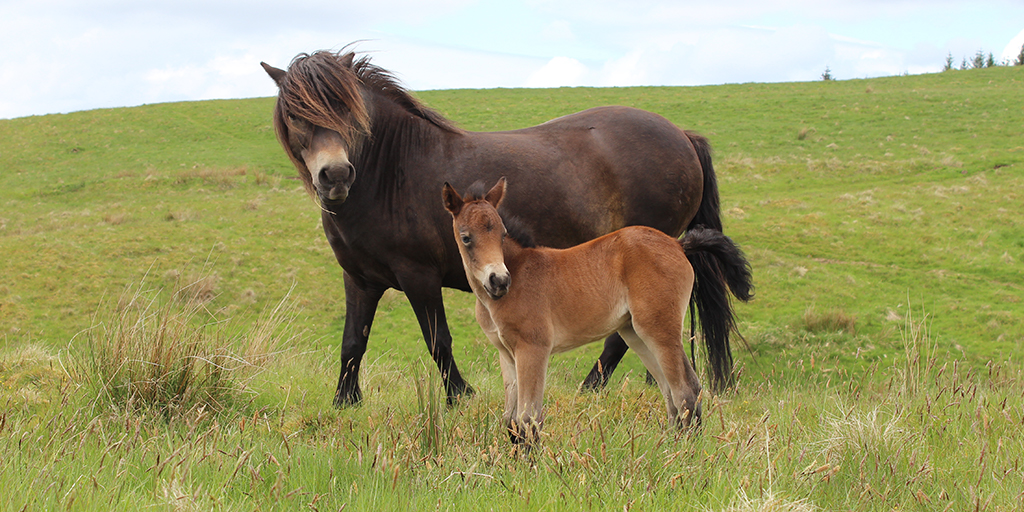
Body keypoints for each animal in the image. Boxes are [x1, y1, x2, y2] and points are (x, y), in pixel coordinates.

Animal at [260, 48, 749, 407]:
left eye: (349, 113)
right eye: (297, 115)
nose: (335, 176)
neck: (392, 171)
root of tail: (683, 135)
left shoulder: (419, 278)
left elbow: (438, 342)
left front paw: (461, 397)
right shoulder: (360, 280)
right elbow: (352, 343)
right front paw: (345, 401)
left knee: (620, 339)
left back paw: (590, 390)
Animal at [444, 179, 749, 444]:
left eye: (502, 234)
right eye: (466, 238)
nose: (499, 281)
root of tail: (677, 244)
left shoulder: (533, 348)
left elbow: (528, 418)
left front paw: (532, 468)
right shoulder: (506, 353)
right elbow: (510, 420)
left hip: (659, 329)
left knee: (685, 390)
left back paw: (686, 452)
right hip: (636, 334)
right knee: (673, 394)